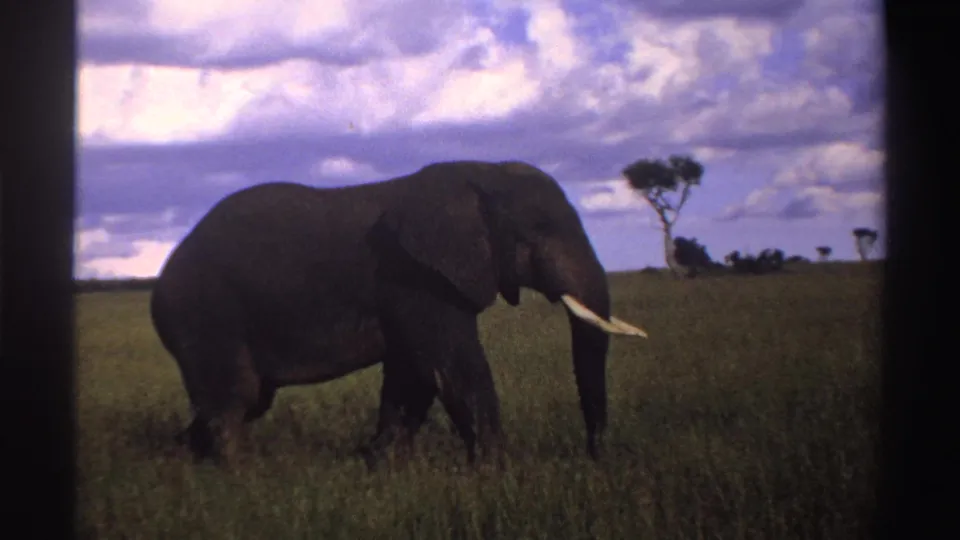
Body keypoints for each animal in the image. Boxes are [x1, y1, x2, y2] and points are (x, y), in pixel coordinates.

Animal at [150, 160, 648, 469]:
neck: (479, 174)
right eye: (539, 230)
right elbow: (453, 370)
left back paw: (181, 463)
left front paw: (382, 467)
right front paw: (496, 474)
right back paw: (241, 476)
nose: (595, 457)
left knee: (244, 400)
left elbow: (414, 375)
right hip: (205, 311)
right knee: (234, 398)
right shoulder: (415, 275)